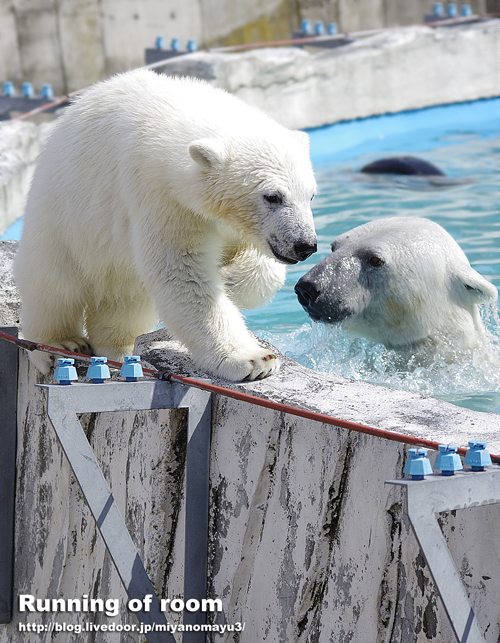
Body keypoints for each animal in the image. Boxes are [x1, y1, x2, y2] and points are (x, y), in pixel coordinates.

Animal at [17, 70, 318, 382]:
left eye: (310, 195)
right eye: (273, 196)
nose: (305, 245)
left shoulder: (237, 227)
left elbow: (262, 266)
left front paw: (230, 278)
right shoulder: (161, 198)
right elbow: (182, 274)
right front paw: (254, 360)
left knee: (125, 299)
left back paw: (120, 347)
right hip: (61, 219)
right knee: (54, 285)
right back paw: (60, 344)